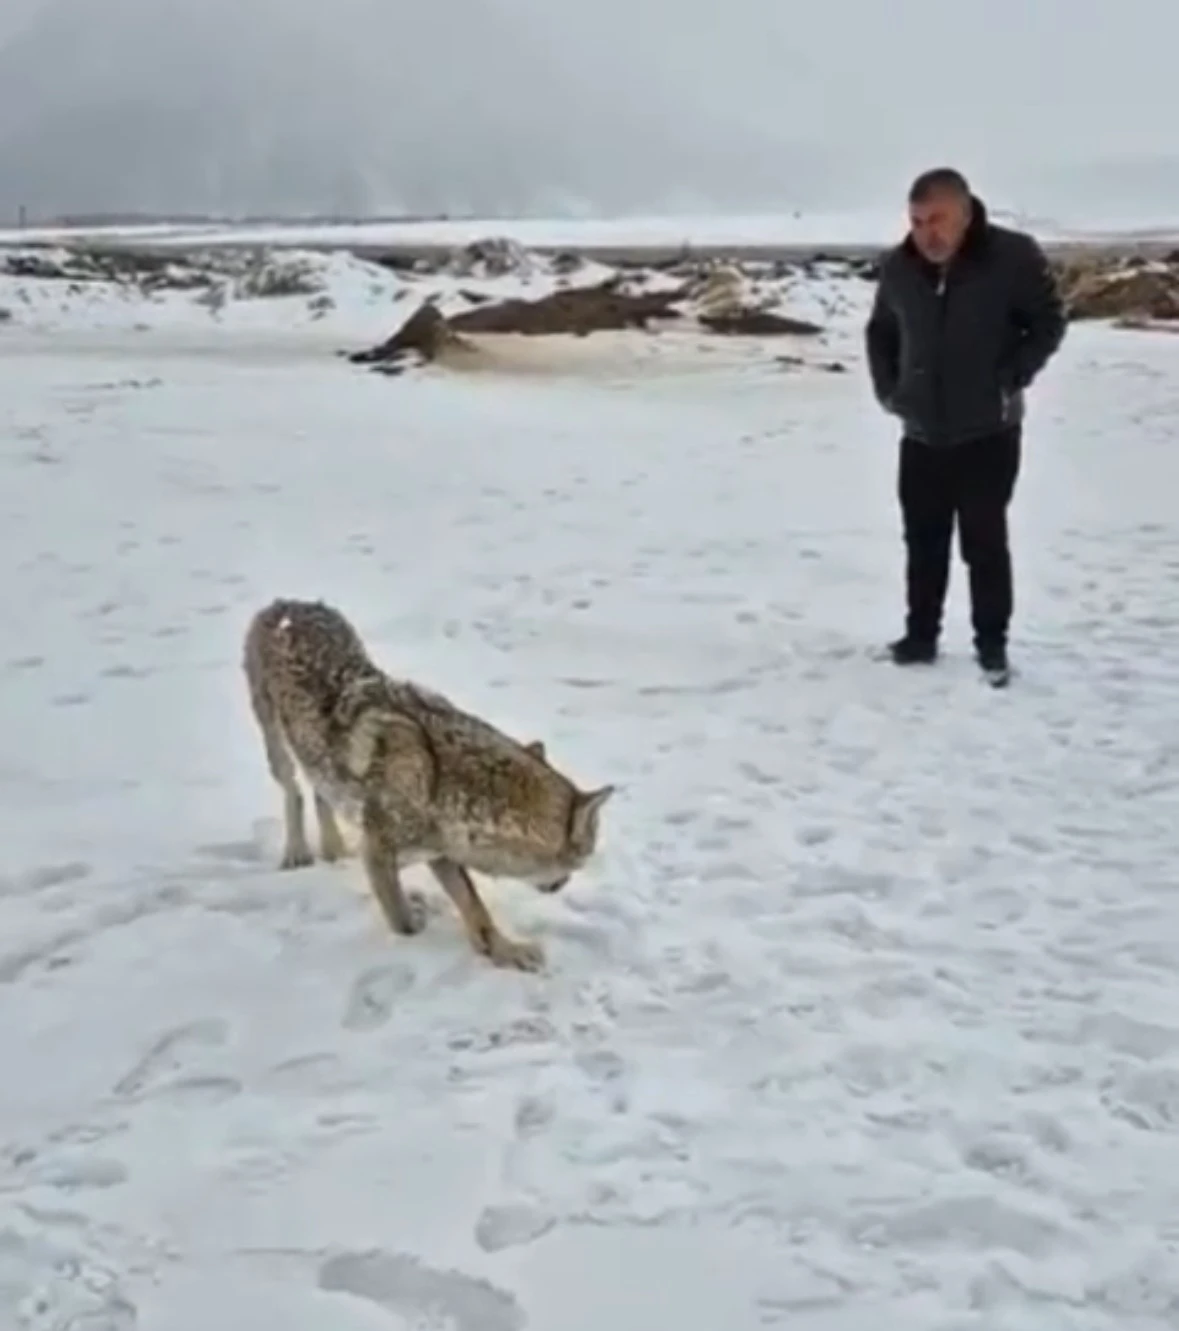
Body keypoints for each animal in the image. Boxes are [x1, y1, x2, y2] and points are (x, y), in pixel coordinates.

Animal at [236, 601, 614, 968]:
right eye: (580, 861)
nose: (563, 884)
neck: (440, 782)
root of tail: (286, 604)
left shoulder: (440, 852)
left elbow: (476, 909)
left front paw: (505, 952)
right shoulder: (378, 853)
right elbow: (403, 922)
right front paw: (415, 931)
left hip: (316, 757)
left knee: (319, 794)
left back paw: (333, 851)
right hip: (277, 747)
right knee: (293, 791)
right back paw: (297, 852)